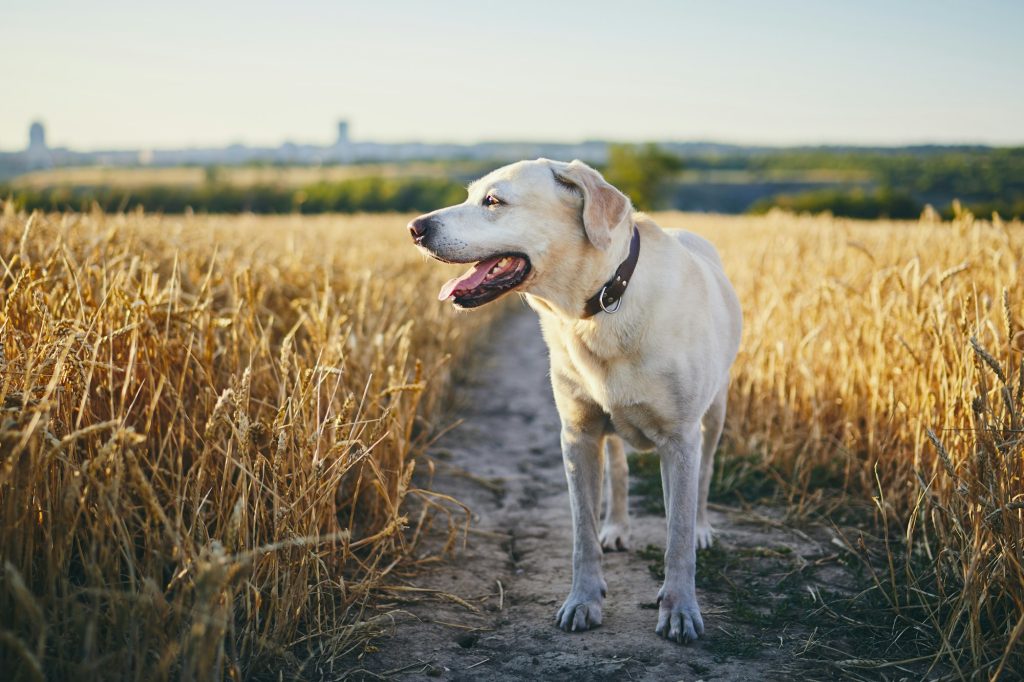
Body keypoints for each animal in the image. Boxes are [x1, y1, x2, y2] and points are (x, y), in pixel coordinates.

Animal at [409, 159, 745, 643]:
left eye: (493, 201)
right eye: (471, 195)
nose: (415, 228)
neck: (601, 303)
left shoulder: (680, 440)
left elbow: (677, 537)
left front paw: (680, 609)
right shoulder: (578, 435)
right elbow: (582, 533)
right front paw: (583, 601)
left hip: (715, 413)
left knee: (704, 478)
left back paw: (702, 527)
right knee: (620, 472)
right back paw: (617, 527)